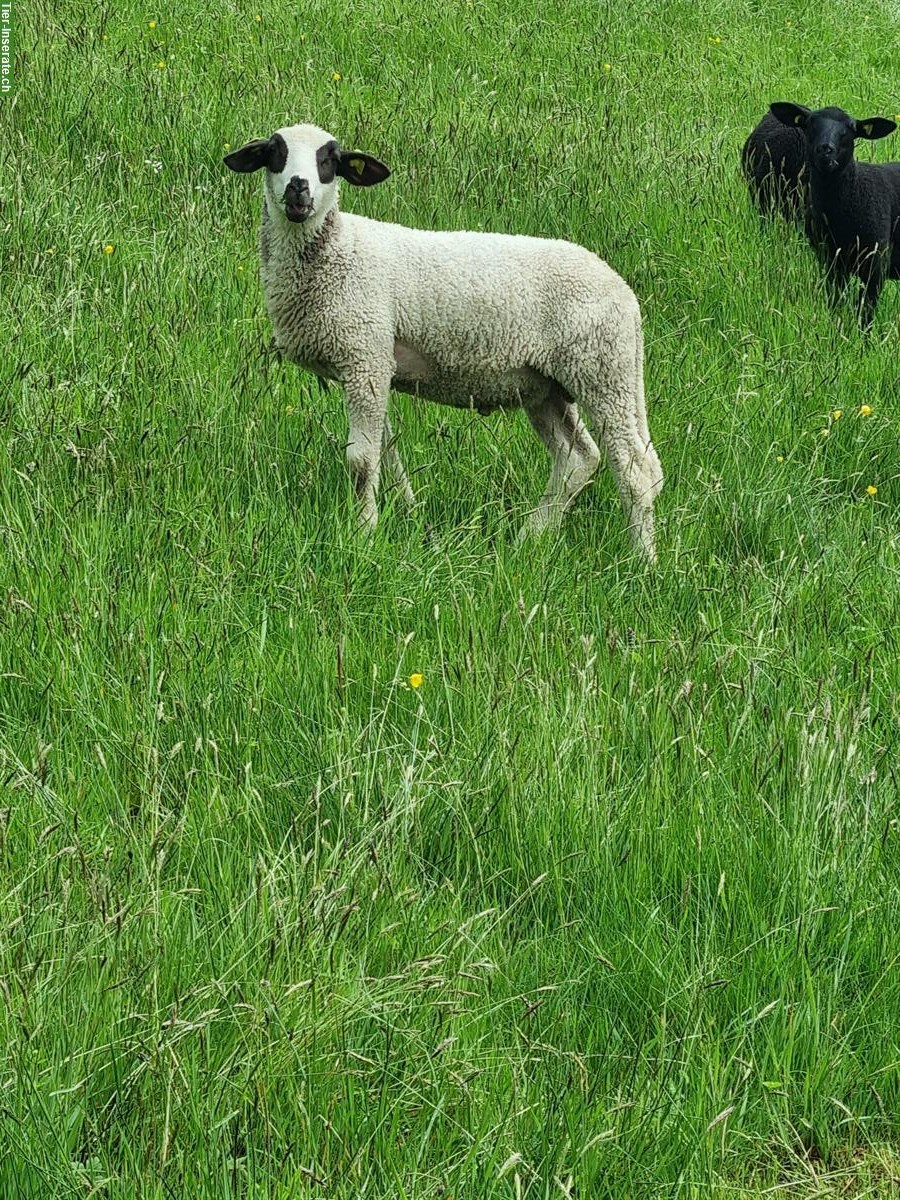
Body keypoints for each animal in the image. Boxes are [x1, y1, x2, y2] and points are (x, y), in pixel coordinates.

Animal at [225, 124, 662, 554]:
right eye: (275, 153)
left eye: (329, 160)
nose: (298, 188)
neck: (339, 250)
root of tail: (626, 295)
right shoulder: (375, 364)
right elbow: (387, 452)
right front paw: (408, 513)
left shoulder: (364, 355)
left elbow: (361, 461)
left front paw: (364, 533)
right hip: (544, 386)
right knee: (578, 458)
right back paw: (528, 539)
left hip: (602, 370)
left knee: (635, 469)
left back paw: (641, 560)